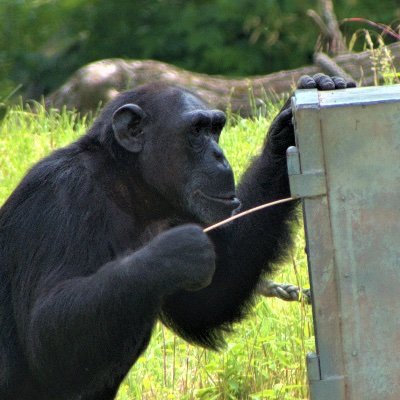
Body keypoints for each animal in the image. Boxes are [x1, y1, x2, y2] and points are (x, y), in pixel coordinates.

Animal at [0, 73, 354, 398]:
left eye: (215, 128)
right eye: (196, 131)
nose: (219, 155)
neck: (126, 185)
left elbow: (209, 301)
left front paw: (287, 129)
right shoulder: (60, 199)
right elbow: (47, 336)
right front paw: (175, 252)